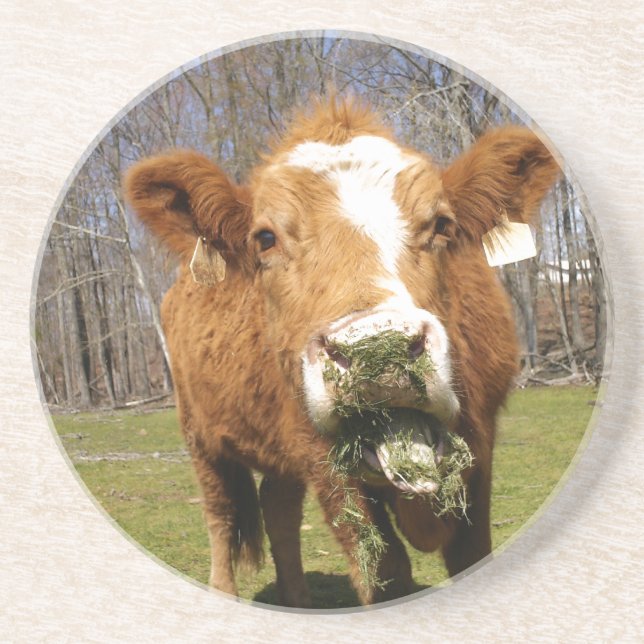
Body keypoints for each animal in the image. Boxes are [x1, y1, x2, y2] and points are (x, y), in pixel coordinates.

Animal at [124, 96, 559, 607]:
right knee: (221, 514)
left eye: (442, 225)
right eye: (265, 238)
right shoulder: (325, 463)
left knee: (279, 509)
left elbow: (470, 553)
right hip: (200, 433)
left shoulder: (481, 445)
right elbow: (385, 569)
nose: (378, 351)